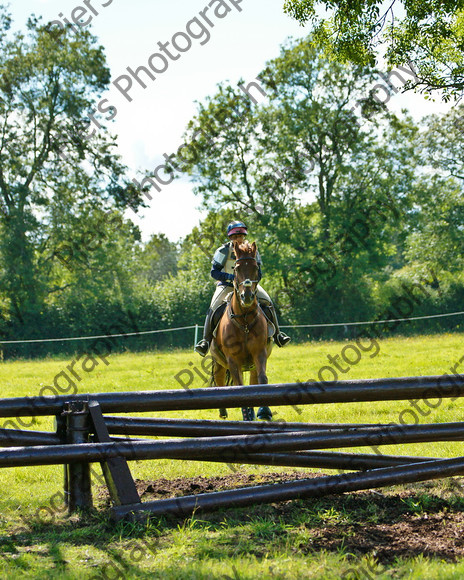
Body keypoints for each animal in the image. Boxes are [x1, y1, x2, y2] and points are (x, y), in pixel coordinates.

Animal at [209, 240, 274, 422]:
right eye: (236, 269)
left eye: (255, 267)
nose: (247, 296)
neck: (244, 320)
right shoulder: (233, 360)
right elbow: (239, 386)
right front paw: (246, 416)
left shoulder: (259, 353)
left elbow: (261, 380)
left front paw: (264, 411)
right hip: (219, 362)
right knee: (219, 379)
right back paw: (223, 411)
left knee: (253, 380)